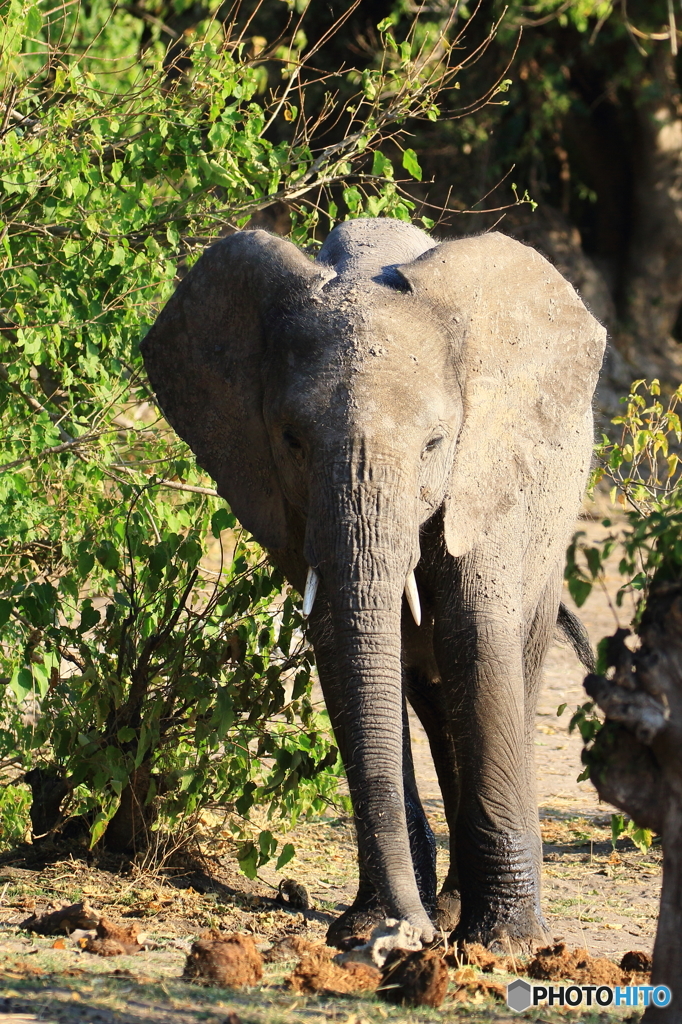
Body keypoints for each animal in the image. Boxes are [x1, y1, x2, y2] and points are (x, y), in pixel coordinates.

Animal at [140, 216, 602, 950]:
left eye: (435, 443)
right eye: (292, 440)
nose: (402, 936)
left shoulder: (489, 470)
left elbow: (477, 637)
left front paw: (506, 944)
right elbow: (338, 640)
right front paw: (373, 927)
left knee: (500, 669)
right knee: (433, 695)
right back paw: (448, 909)